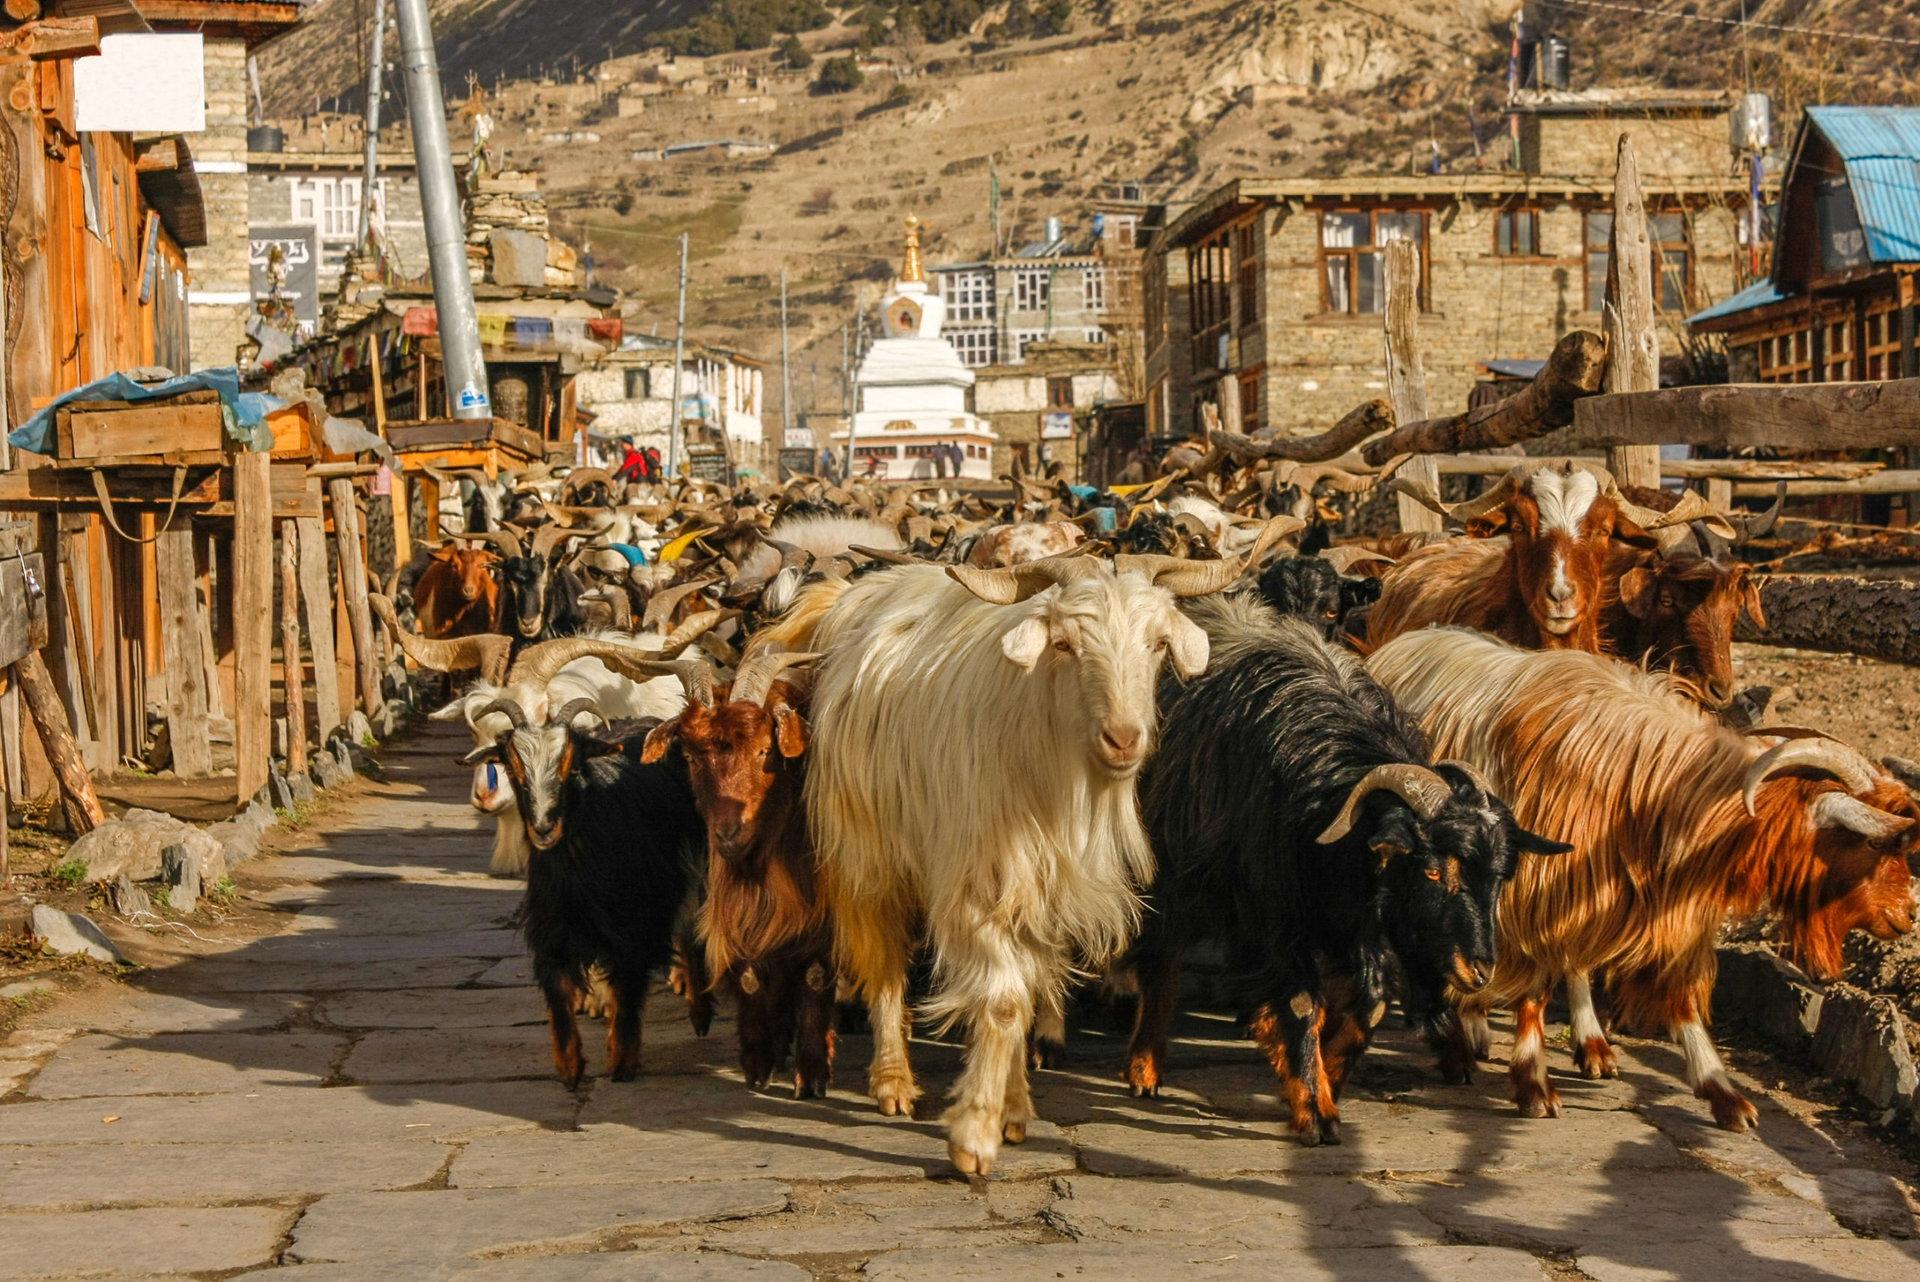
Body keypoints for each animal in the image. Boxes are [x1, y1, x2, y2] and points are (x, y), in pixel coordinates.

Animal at [462, 698, 706, 1089]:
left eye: (571, 766)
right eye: (512, 768)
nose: (544, 828)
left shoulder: (633, 923)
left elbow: (628, 987)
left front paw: (621, 1063)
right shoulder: (554, 926)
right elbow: (559, 990)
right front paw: (570, 1067)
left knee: (691, 926)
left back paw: (700, 1012)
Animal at [639, 652, 834, 1097]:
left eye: (765, 751)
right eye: (690, 757)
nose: (728, 833)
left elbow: (815, 977)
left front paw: (812, 1074)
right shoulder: (740, 911)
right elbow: (750, 979)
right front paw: (759, 1063)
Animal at [792, 547, 1255, 1175]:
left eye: (1159, 644)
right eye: (1064, 644)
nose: (1123, 739)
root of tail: (852, 597)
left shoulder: (1045, 891)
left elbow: (1028, 989)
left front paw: (1013, 1109)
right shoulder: (975, 884)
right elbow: (1006, 1001)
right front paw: (974, 1135)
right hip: (868, 850)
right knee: (884, 961)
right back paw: (893, 1082)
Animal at [1130, 597, 1568, 1143]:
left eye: (1498, 879)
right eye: (1431, 873)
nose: (1481, 971)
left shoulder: (1356, 921)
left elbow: (1369, 1006)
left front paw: (1328, 1082)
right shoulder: (1278, 916)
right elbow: (1301, 1005)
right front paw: (1314, 1111)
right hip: (1171, 871)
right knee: (1160, 958)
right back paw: (1145, 1069)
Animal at [1367, 628, 1918, 1130]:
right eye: (1874, 844)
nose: (1908, 914)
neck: (1642, 786)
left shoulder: (1639, 903)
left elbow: (1678, 993)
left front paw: (1721, 1092)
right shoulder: (1526, 896)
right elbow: (1534, 989)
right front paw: (1532, 1084)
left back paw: (1578, 1042)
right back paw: (1458, 1044)